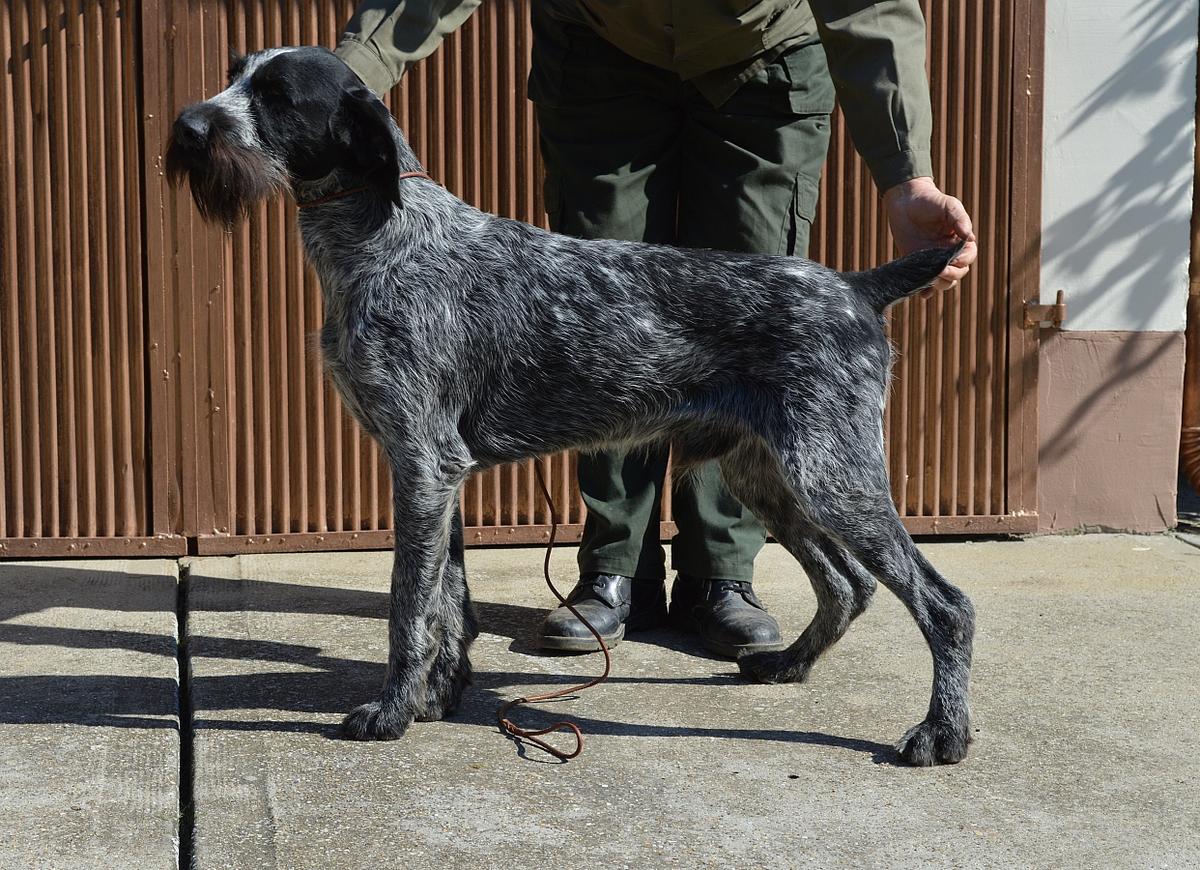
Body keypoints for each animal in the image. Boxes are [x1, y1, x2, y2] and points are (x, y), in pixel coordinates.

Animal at [166, 44, 974, 763]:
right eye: (234, 74)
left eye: (277, 97)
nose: (186, 126)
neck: (382, 238)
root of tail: (856, 286)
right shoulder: (437, 472)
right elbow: (448, 600)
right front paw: (437, 696)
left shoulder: (423, 464)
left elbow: (408, 607)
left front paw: (392, 711)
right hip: (770, 473)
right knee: (848, 584)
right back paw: (788, 666)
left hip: (830, 475)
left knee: (943, 604)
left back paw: (943, 734)